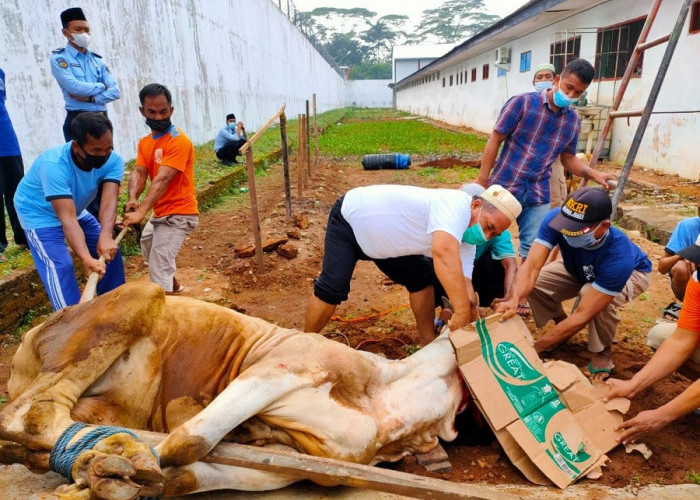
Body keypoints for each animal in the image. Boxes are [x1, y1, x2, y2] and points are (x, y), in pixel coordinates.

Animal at [0, 284, 464, 498]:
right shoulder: (280, 367)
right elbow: (188, 441)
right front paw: (118, 466)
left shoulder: (298, 462)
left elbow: (187, 473)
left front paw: (115, 477)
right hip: (140, 291)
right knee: (27, 415)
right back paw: (110, 450)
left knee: (37, 434)